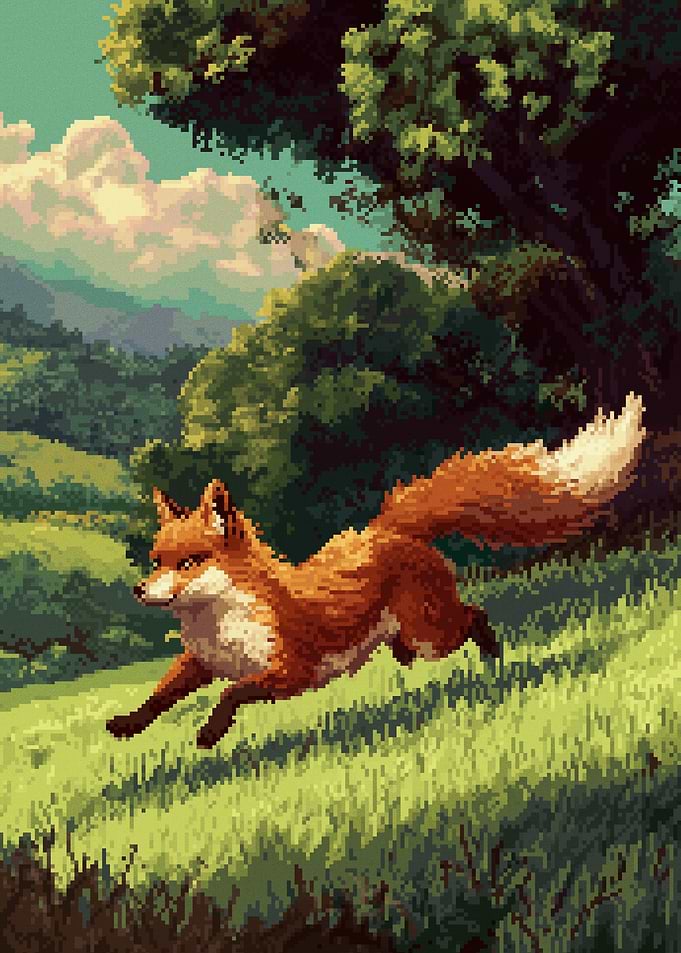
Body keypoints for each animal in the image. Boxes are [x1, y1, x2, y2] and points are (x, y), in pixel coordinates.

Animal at [107, 393, 645, 749]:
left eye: (189, 563)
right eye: (156, 561)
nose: (138, 590)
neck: (222, 621)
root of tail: (388, 529)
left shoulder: (292, 671)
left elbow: (232, 693)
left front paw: (210, 733)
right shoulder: (200, 662)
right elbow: (159, 696)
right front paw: (127, 725)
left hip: (431, 633)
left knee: (474, 615)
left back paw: (494, 657)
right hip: (410, 634)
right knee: (422, 639)